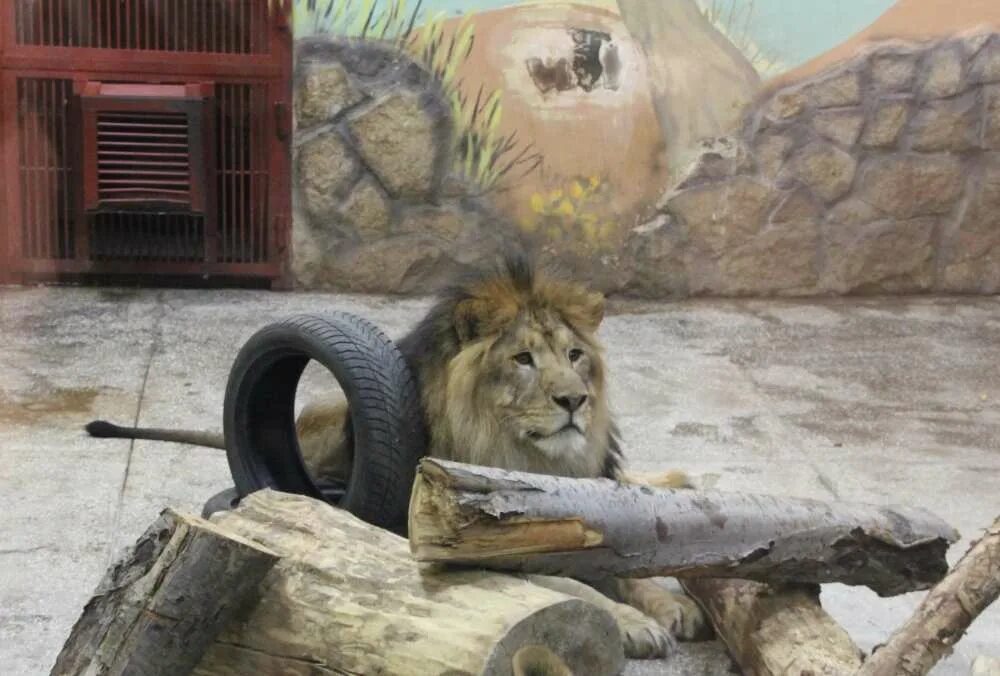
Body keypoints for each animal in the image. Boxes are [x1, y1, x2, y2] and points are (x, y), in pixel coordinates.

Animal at [90, 252, 708, 656]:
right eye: (523, 359)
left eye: (575, 355)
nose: (575, 400)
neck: (526, 456)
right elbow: (573, 586)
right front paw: (633, 623)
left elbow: (621, 562)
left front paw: (668, 603)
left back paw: (678, 481)